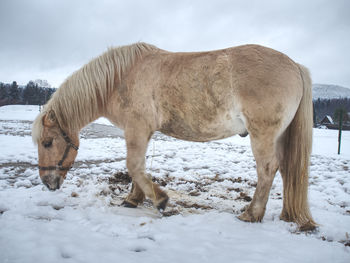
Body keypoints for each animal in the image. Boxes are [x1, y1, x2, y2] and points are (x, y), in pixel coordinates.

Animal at [32, 41, 318, 231]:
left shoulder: (137, 128)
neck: (120, 78)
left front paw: (160, 200)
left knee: (268, 169)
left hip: (263, 135)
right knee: (286, 171)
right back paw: (286, 215)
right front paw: (133, 199)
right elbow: (139, 166)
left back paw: (251, 214)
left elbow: (134, 166)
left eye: (47, 142)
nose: (48, 183)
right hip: (279, 137)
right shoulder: (140, 131)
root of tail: (294, 65)